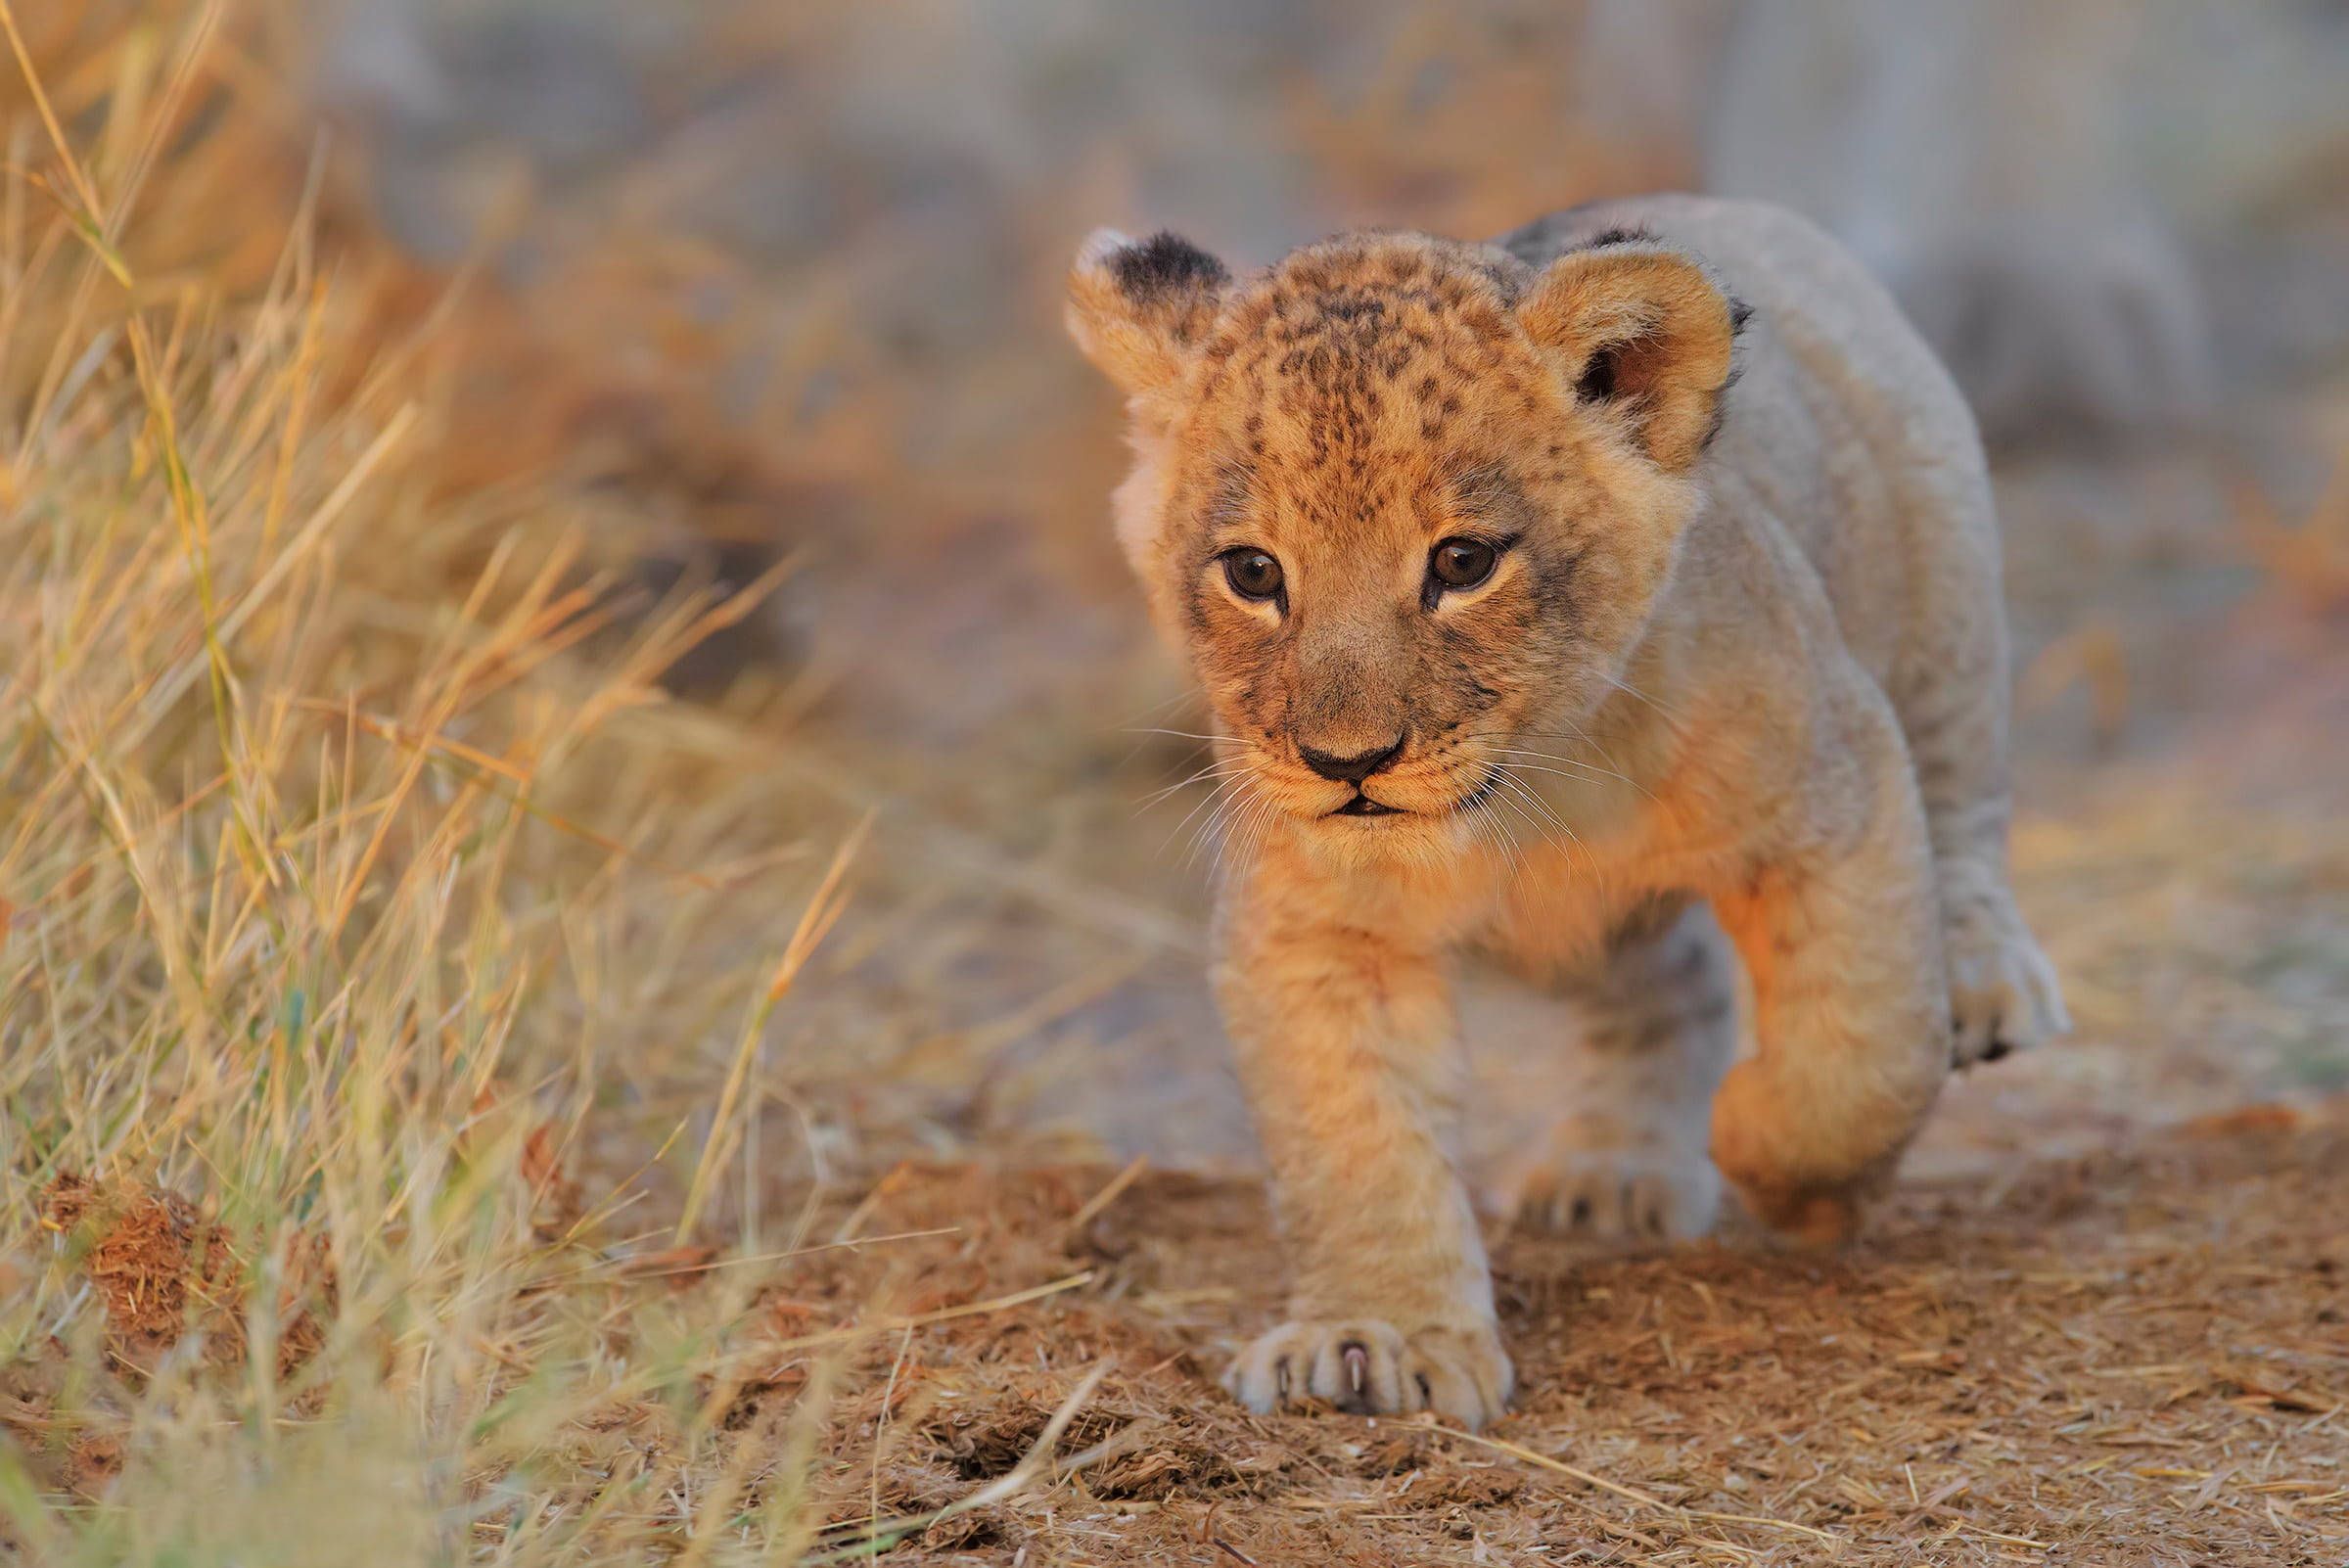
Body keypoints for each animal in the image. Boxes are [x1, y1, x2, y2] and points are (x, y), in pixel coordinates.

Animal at [1065, 195, 2068, 1430]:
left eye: (1462, 562)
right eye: (1252, 572)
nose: (1347, 763)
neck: (1532, 800)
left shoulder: (1841, 785)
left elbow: (1866, 1046)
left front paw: (1782, 1166)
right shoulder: (1315, 928)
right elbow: (1353, 1136)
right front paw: (1375, 1338)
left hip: (1941, 594)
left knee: (1961, 808)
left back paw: (1983, 982)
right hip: (1589, 933)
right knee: (1670, 983)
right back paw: (1616, 1171)